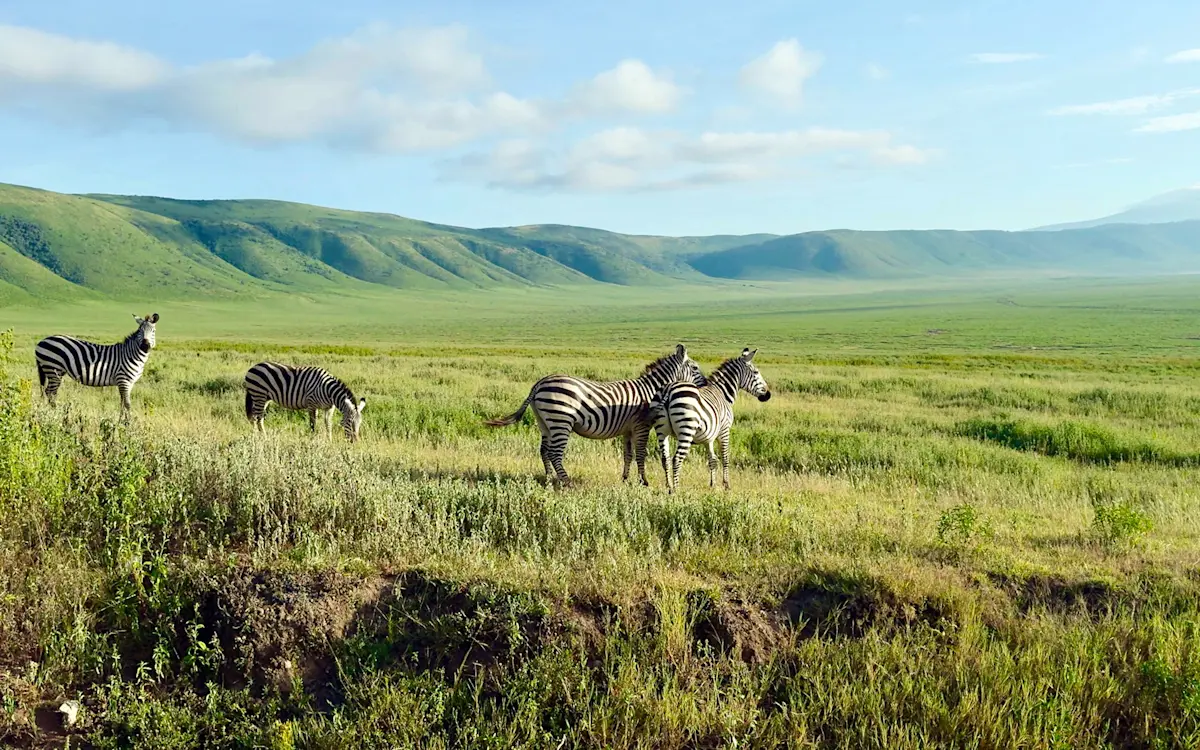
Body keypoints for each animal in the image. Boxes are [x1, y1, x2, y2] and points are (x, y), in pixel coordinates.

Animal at [484, 344, 707, 487]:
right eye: (695, 367)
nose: (704, 385)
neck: (651, 391)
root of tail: (539, 383)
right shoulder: (641, 426)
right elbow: (641, 454)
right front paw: (644, 482)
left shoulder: (628, 429)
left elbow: (628, 455)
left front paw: (625, 479)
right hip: (561, 420)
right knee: (555, 453)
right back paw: (567, 482)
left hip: (544, 422)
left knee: (544, 451)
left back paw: (549, 480)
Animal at [649, 348, 771, 494]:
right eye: (756, 372)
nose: (768, 395)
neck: (723, 393)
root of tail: (668, 389)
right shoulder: (724, 430)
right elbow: (725, 457)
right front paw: (726, 485)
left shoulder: (709, 437)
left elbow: (712, 460)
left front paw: (713, 484)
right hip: (686, 430)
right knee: (677, 459)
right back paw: (677, 489)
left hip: (662, 431)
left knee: (665, 458)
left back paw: (669, 486)